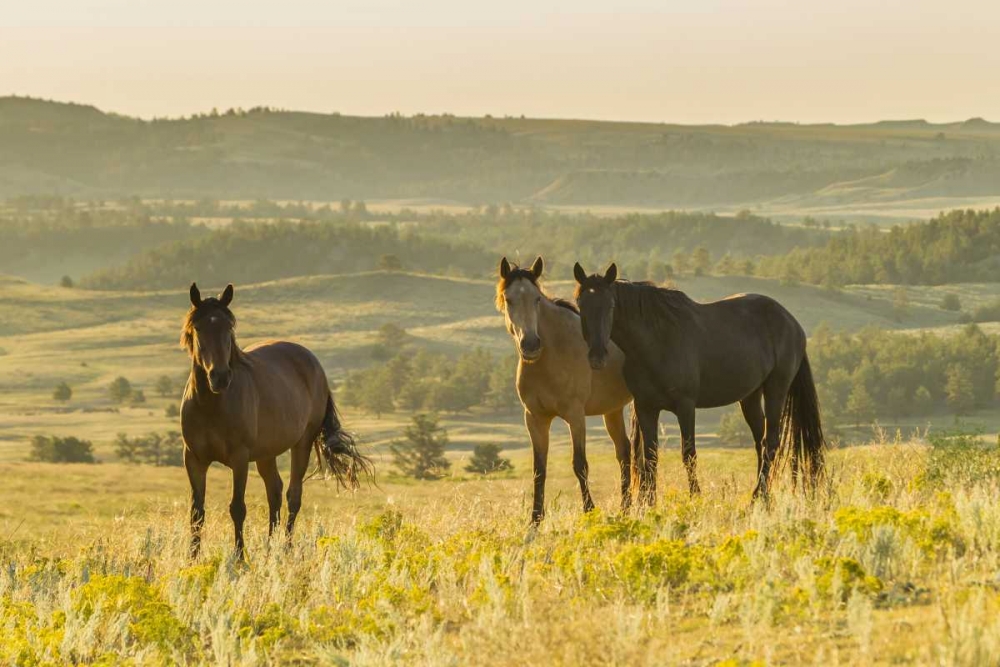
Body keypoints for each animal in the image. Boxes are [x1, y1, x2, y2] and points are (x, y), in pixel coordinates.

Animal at [180, 284, 372, 560]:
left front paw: (240, 558)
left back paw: (286, 549)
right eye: (198, 328)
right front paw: (192, 558)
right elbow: (197, 512)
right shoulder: (194, 459)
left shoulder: (239, 458)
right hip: (265, 454)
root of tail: (313, 362)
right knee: (275, 491)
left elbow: (237, 508)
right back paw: (270, 548)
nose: (220, 377)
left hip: (302, 443)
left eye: (229, 328)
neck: (211, 405)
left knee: (293, 496)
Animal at [576, 264, 824, 504]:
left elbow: (689, 454)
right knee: (760, 442)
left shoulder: (685, 406)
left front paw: (695, 498)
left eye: (610, 305)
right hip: (750, 397)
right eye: (580, 304)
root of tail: (791, 323)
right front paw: (649, 504)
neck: (656, 341)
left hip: (776, 389)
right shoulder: (645, 407)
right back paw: (763, 496)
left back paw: (757, 496)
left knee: (771, 441)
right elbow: (651, 457)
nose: (597, 357)